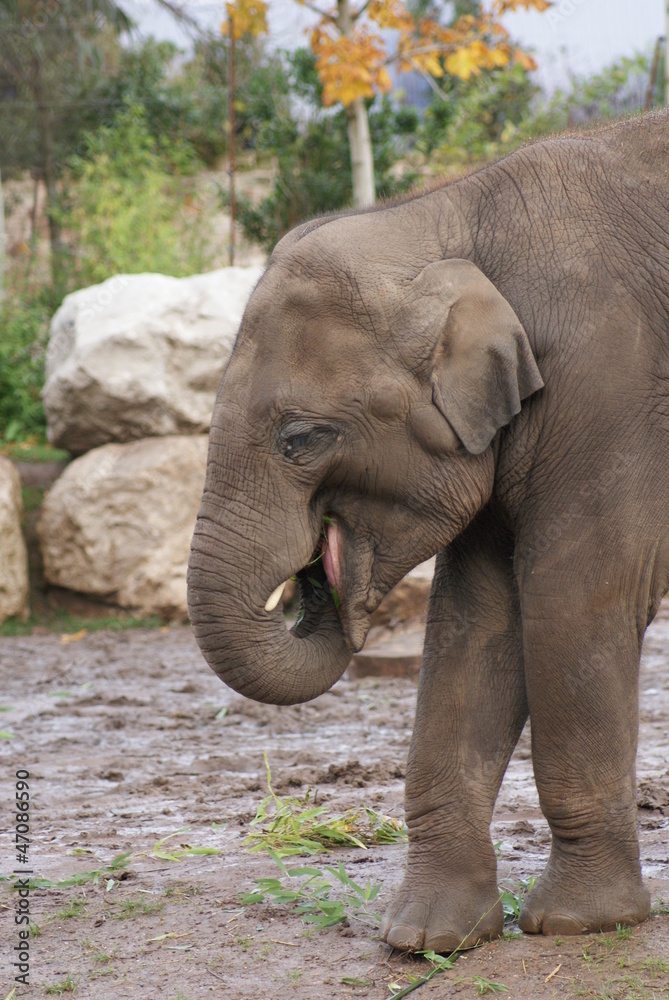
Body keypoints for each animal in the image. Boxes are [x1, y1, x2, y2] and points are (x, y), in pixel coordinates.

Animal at [187, 110, 669, 952]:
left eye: (301, 439)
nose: (312, 581)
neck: (449, 218)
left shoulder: (611, 387)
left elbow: (574, 602)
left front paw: (578, 923)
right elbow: (475, 623)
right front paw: (425, 938)